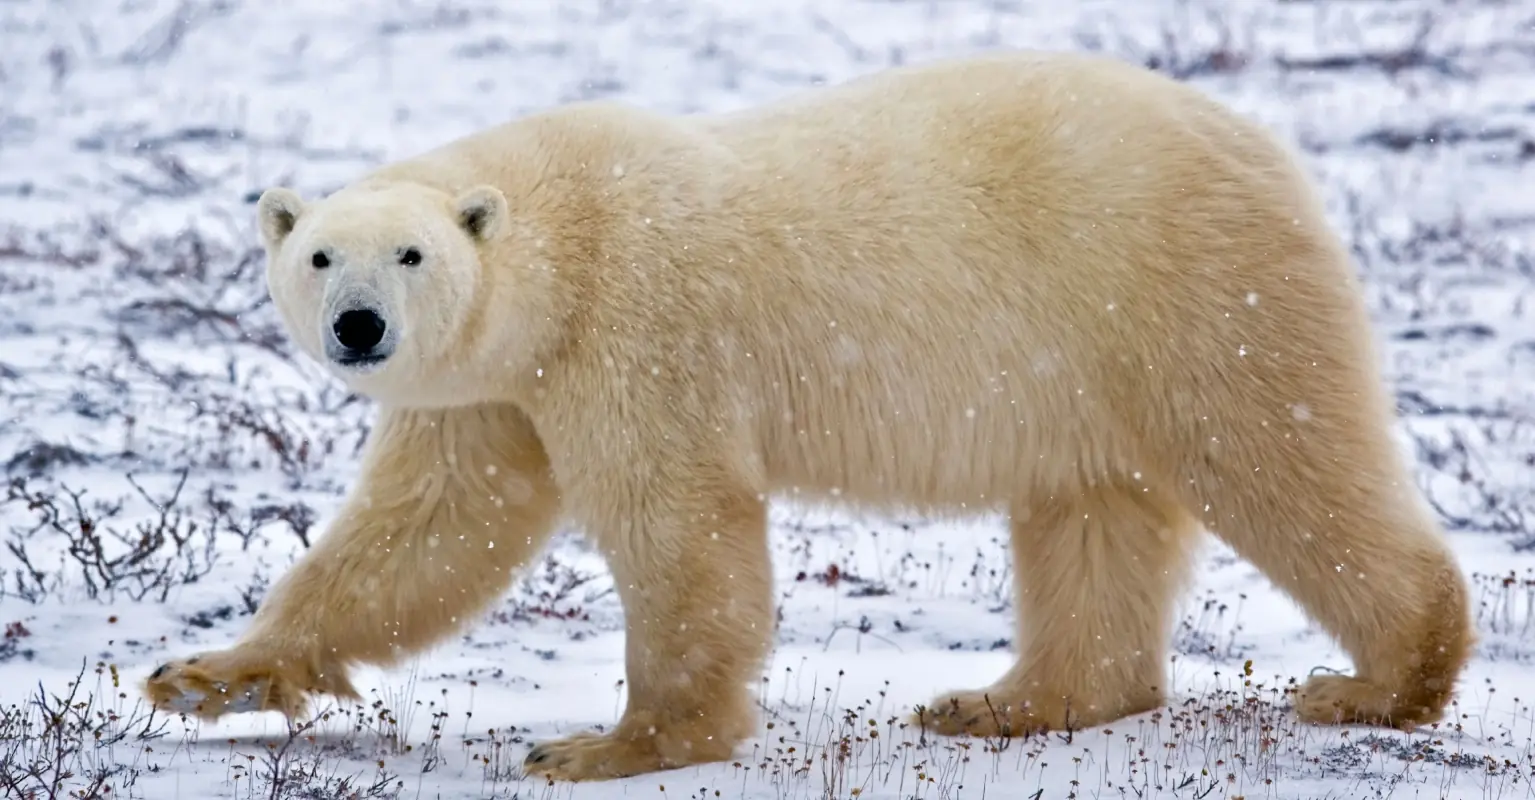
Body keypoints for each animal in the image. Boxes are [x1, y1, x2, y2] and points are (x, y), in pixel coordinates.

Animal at [143, 48, 1475, 783]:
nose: (360, 325)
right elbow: (424, 530)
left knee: (1278, 456)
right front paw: (204, 675)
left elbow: (678, 522)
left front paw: (612, 742)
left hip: (1185, 289)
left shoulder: (634, 327)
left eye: (411, 253)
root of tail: (1262, 144)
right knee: (1088, 513)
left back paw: (1381, 678)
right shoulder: (493, 388)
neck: (561, 238)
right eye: (319, 253)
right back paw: (1003, 700)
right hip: (1081, 361)